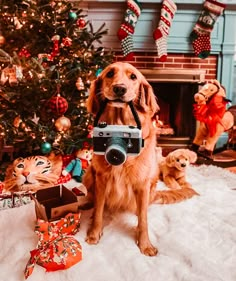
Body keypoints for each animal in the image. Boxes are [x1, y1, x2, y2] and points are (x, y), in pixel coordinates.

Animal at [82, 62, 197, 255]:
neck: (118, 126)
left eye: (133, 77)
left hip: (152, 183)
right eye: (110, 74)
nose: (120, 88)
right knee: (93, 199)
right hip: (89, 174)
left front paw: (145, 244)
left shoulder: (142, 183)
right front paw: (93, 233)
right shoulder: (101, 178)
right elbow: (98, 211)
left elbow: (143, 220)